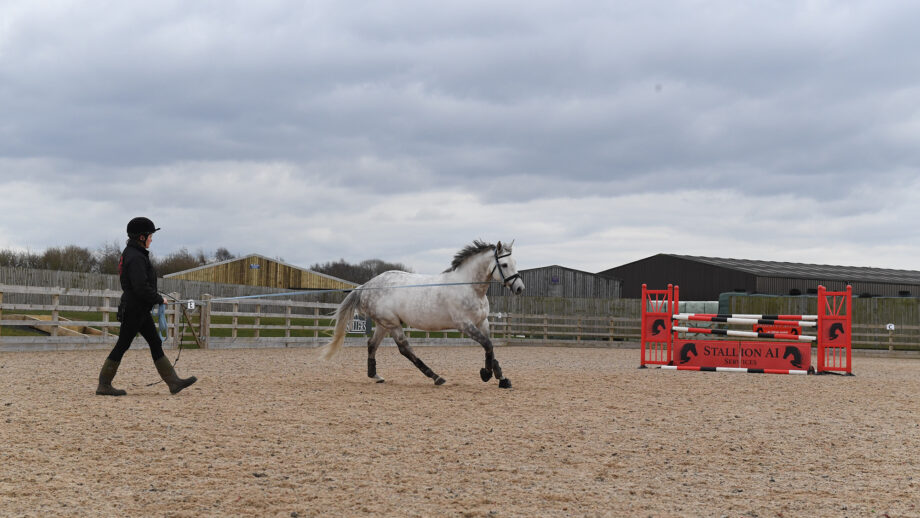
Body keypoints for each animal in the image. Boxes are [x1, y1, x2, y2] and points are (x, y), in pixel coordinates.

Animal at [320, 240, 525, 388]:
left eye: (515, 263)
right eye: (504, 264)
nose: (520, 288)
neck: (469, 287)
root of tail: (365, 286)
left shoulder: (483, 322)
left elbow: (491, 348)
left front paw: (502, 379)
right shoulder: (465, 324)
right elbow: (487, 345)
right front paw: (486, 374)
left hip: (383, 324)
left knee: (372, 344)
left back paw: (376, 376)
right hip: (392, 324)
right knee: (404, 349)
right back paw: (436, 377)